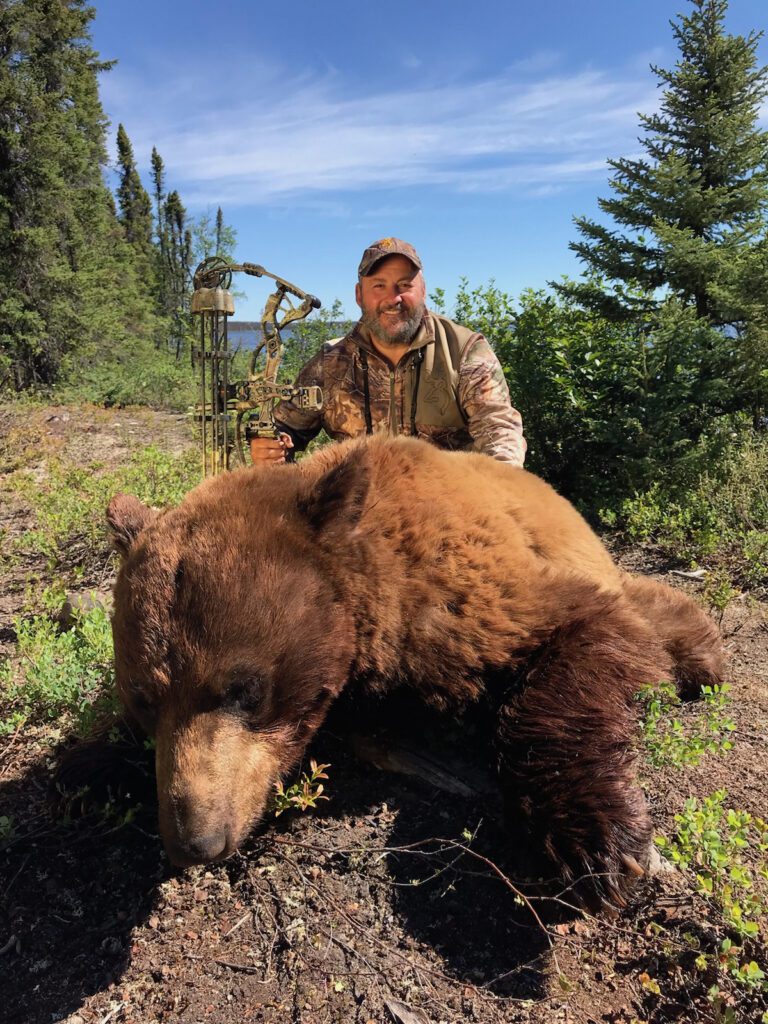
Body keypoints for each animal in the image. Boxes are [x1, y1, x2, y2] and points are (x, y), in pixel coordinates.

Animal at [109, 436, 729, 909]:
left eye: (246, 690)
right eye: (144, 700)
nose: (195, 841)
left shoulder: (463, 591)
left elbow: (583, 630)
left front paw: (600, 844)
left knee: (641, 603)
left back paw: (705, 656)